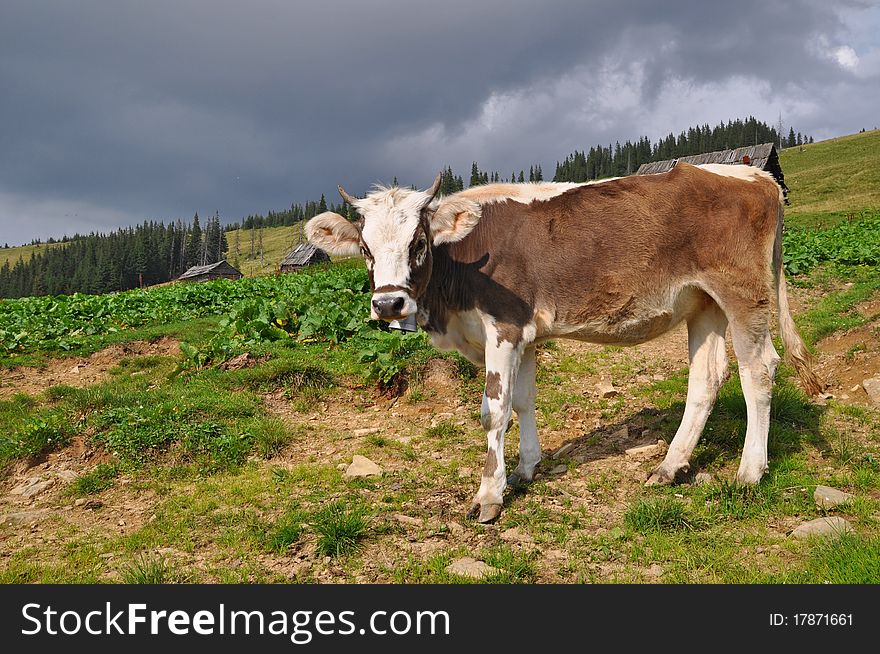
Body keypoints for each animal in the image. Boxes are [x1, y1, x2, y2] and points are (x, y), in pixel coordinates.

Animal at [306, 164, 820, 524]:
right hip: (702, 302)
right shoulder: (526, 336)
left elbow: (494, 409)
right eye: (366, 249)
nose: (388, 303)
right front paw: (525, 470)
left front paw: (488, 497)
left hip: (743, 293)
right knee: (707, 378)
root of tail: (756, 176)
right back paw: (669, 467)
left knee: (759, 370)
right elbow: (523, 402)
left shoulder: (504, 327)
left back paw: (749, 472)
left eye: (418, 242)